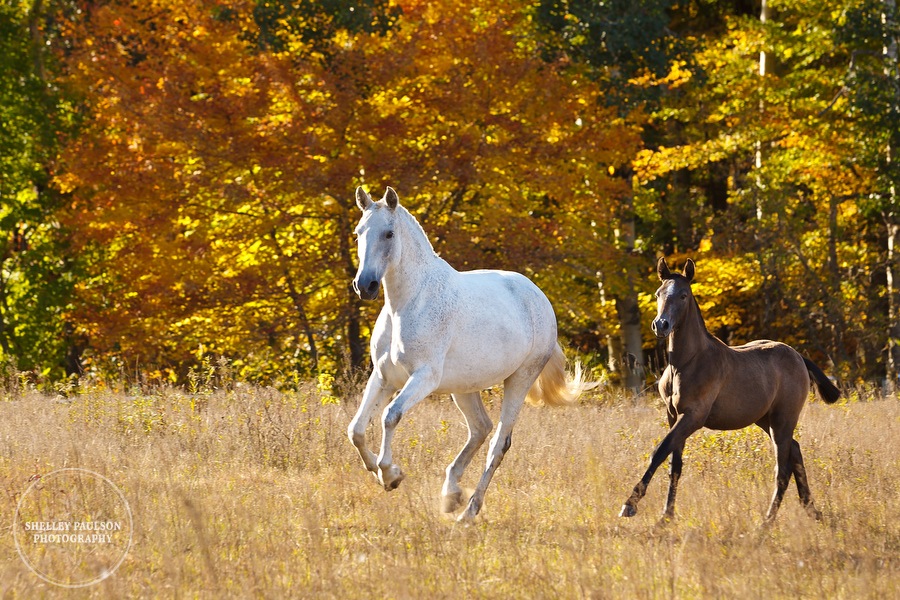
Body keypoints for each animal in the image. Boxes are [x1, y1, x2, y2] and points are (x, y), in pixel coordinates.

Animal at [344, 186, 584, 520]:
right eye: (358, 233)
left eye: (389, 233)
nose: (364, 286)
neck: (408, 302)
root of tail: (539, 298)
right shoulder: (383, 377)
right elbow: (356, 429)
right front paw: (380, 474)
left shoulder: (424, 378)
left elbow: (390, 416)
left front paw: (390, 474)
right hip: (464, 387)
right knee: (480, 428)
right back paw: (451, 495)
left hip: (520, 379)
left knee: (498, 442)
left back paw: (468, 511)